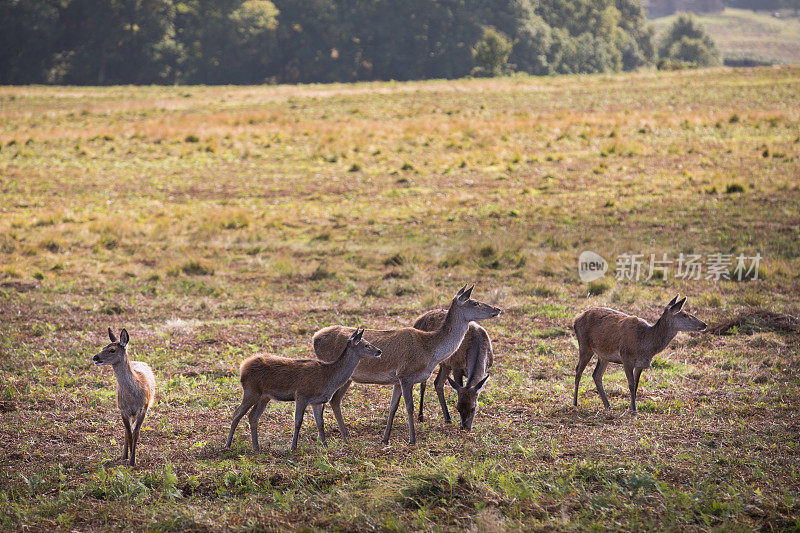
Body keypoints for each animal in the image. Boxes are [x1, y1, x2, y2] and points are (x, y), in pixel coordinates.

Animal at [91, 328, 155, 466]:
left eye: (112, 350)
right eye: (103, 347)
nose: (95, 357)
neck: (133, 397)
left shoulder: (144, 408)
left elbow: (136, 433)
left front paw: (133, 460)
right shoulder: (123, 410)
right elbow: (129, 432)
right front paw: (128, 456)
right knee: (127, 430)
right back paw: (124, 455)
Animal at [225, 328, 382, 448]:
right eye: (366, 344)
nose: (379, 351)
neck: (329, 377)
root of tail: (243, 366)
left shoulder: (317, 401)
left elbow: (320, 423)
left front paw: (325, 445)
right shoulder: (301, 395)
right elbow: (298, 421)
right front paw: (293, 446)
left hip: (264, 396)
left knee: (253, 416)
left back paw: (256, 447)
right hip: (251, 390)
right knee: (237, 413)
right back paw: (228, 444)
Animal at [310, 282, 500, 444]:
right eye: (475, 302)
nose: (497, 309)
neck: (429, 351)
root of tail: (314, 338)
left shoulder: (397, 380)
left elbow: (393, 407)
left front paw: (385, 439)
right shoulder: (406, 374)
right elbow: (409, 406)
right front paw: (412, 439)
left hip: (346, 378)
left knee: (334, 401)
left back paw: (345, 436)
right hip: (334, 372)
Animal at [572, 294, 704, 414]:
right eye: (685, 315)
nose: (704, 324)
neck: (645, 345)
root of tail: (576, 319)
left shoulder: (641, 363)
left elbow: (636, 384)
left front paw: (632, 407)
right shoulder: (626, 358)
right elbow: (631, 384)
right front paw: (634, 409)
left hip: (604, 355)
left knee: (596, 375)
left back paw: (607, 405)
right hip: (584, 345)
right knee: (578, 370)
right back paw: (575, 403)